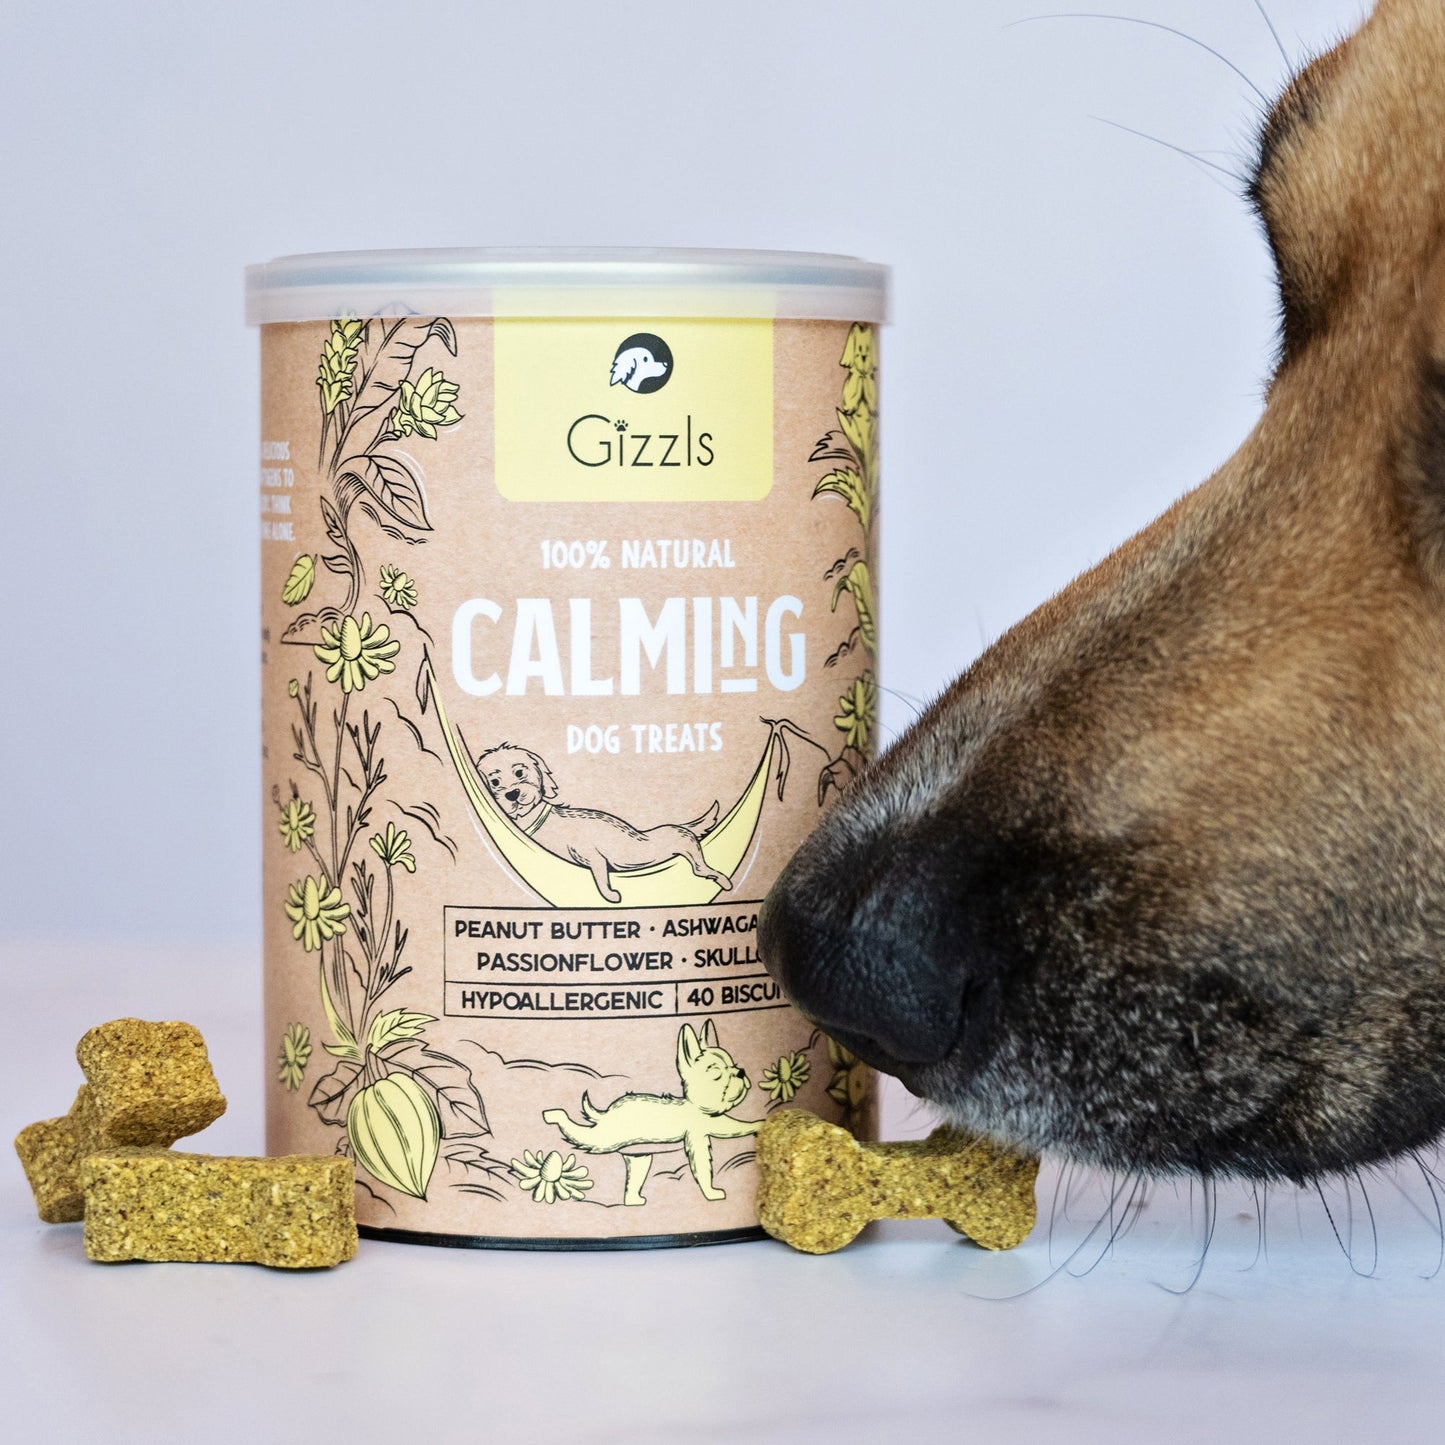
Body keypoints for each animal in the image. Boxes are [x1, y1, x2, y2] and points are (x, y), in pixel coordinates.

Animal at [477, 743, 732, 903]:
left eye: (520, 772)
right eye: (495, 781)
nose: (512, 794)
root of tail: (682, 827)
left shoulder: (595, 858)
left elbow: (601, 881)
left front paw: (610, 896)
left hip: (690, 850)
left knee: (703, 869)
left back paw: (726, 882)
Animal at [542, 1020, 763, 1204]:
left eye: (734, 1064)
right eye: (716, 1071)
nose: (741, 1072)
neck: (695, 1105)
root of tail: (607, 1112)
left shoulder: (714, 1123)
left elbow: (737, 1126)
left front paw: (757, 1124)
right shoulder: (699, 1133)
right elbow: (703, 1166)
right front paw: (711, 1193)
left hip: (639, 1156)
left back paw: (634, 1201)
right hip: (605, 1140)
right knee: (581, 1135)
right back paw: (553, 1114)